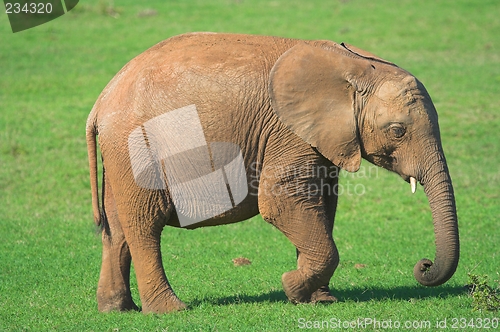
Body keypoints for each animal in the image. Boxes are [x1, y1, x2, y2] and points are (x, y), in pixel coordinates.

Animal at [86, 31, 458, 314]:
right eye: (397, 131)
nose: (423, 265)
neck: (354, 66)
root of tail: (100, 102)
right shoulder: (287, 131)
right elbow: (282, 202)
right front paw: (291, 287)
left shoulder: (320, 136)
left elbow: (323, 205)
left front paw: (319, 300)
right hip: (136, 147)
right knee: (144, 224)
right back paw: (170, 310)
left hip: (119, 153)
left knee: (117, 228)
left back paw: (118, 310)